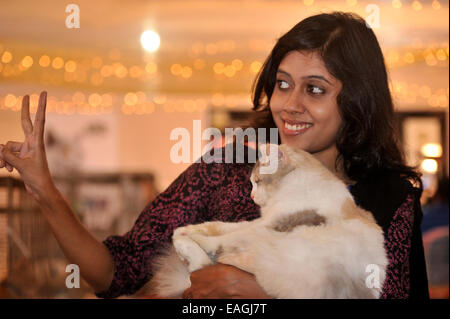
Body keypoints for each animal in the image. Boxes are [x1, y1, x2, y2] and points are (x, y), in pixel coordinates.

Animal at [143, 145, 386, 300]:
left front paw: (192, 236)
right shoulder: (264, 219)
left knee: (210, 258)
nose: (251, 196)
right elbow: (221, 225)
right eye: (251, 183)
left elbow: (226, 235)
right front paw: (188, 229)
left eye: (258, 181)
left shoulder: (272, 222)